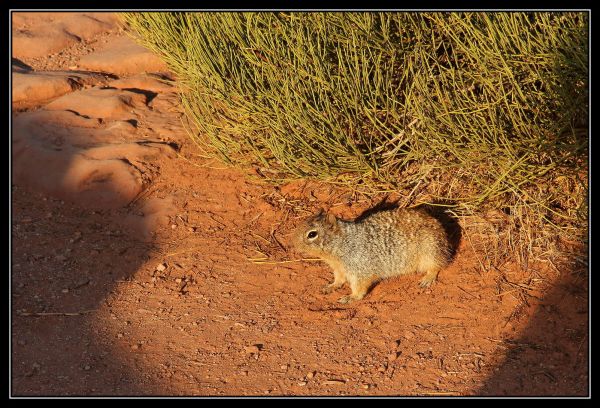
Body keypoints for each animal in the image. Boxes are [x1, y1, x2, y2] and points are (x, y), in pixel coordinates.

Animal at [292, 207, 452, 302]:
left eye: (312, 234)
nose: (292, 243)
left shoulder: (359, 269)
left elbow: (359, 287)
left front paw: (350, 297)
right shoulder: (339, 268)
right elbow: (339, 279)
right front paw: (331, 286)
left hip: (430, 251)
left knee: (436, 266)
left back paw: (427, 278)